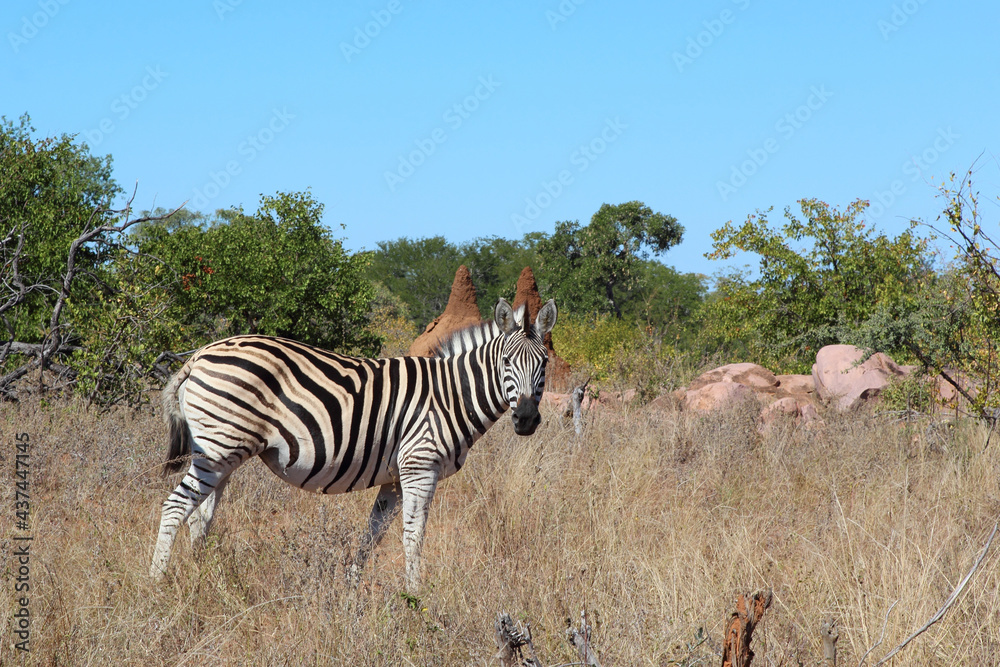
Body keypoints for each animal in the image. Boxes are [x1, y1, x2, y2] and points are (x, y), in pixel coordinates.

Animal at [150, 297, 557, 592]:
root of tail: (199, 355)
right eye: (506, 362)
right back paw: (158, 583)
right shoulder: (420, 467)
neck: (450, 396)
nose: (525, 419)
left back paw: (204, 579)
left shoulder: (395, 479)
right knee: (175, 507)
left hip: (222, 452)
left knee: (200, 516)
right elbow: (413, 537)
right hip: (218, 448)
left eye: (544, 364)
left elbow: (373, 535)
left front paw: (351, 588)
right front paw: (416, 597)